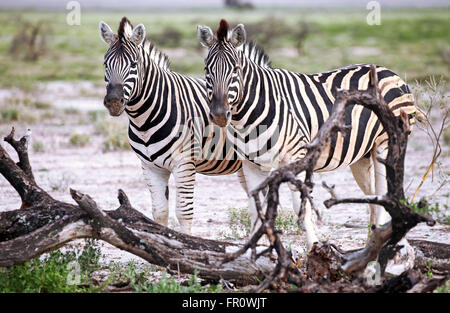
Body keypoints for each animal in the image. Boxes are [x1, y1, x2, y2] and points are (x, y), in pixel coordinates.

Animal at [97, 16, 250, 232]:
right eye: (105, 64)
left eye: (134, 64)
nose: (113, 102)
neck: (144, 121)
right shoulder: (150, 167)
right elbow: (160, 212)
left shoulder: (184, 164)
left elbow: (184, 214)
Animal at [197, 18, 418, 251]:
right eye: (207, 70)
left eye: (235, 70)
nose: (219, 114)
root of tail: (391, 72)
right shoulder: (251, 164)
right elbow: (255, 210)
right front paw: (254, 252)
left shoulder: (296, 156)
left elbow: (300, 207)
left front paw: (314, 248)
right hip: (362, 155)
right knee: (373, 196)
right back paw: (372, 245)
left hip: (386, 144)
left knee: (386, 194)